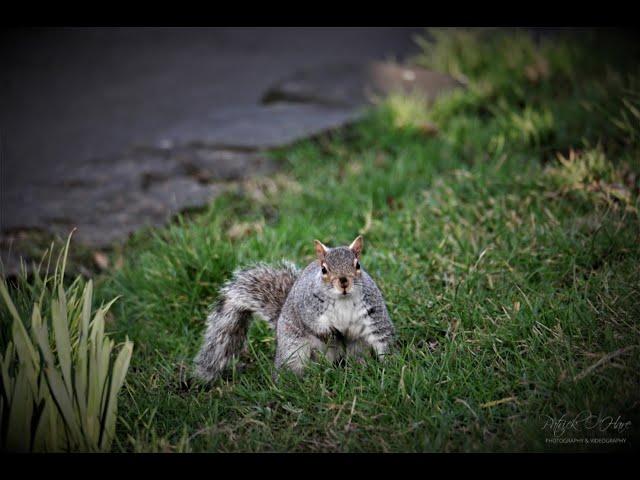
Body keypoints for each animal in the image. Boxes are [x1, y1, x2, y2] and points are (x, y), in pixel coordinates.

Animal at [194, 234, 396, 380]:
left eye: (358, 265)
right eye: (324, 269)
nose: (344, 282)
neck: (343, 300)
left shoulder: (372, 313)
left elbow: (383, 338)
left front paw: (391, 366)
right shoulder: (308, 309)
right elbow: (315, 325)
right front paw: (331, 335)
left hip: (358, 346)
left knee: (355, 356)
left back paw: (359, 368)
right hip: (293, 348)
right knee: (293, 367)